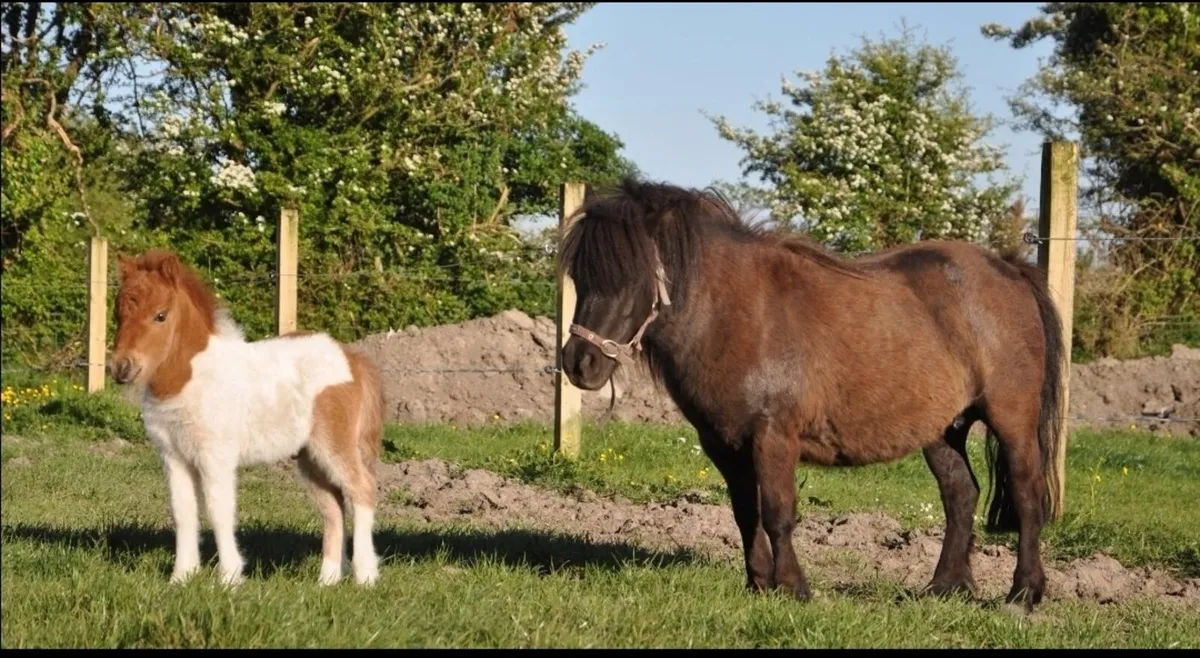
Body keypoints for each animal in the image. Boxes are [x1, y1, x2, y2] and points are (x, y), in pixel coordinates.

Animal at [109, 249, 386, 588]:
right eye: (117, 314)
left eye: (160, 315)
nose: (121, 367)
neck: (190, 377)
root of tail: (351, 359)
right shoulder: (173, 456)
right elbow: (183, 512)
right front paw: (181, 577)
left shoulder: (215, 455)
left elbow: (219, 510)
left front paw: (229, 577)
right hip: (310, 457)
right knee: (332, 506)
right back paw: (328, 580)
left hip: (335, 445)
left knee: (362, 489)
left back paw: (366, 575)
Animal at [558, 178, 1065, 612]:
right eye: (582, 278)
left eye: (630, 276)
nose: (578, 363)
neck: (737, 315)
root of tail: (1009, 270)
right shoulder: (723, 445)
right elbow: (745, 514)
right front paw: (758, 584)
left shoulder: (773, 437)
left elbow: (778, 513)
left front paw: (793, 589)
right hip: (943, 429)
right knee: (960, 494)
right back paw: (944, 588)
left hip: (1012, 420)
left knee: (1027, 495)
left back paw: (1023, 594)